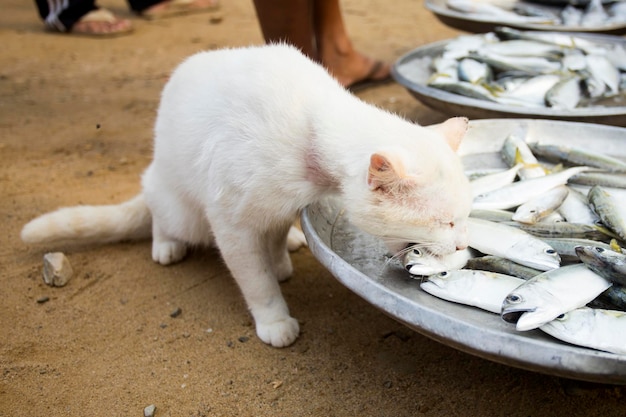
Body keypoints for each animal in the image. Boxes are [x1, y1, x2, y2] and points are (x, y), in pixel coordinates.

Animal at [22, 44, 470, 346]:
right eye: (444, 222)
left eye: (466, 218)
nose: (463, 244)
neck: (311, 130)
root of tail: (156, 167)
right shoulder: (231, 222)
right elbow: (255, 280)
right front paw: (274, 319)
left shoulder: (280, 205)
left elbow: (273, 239)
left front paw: (280, 259)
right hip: (177, 203)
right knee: (157, 208)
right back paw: (165, 244)